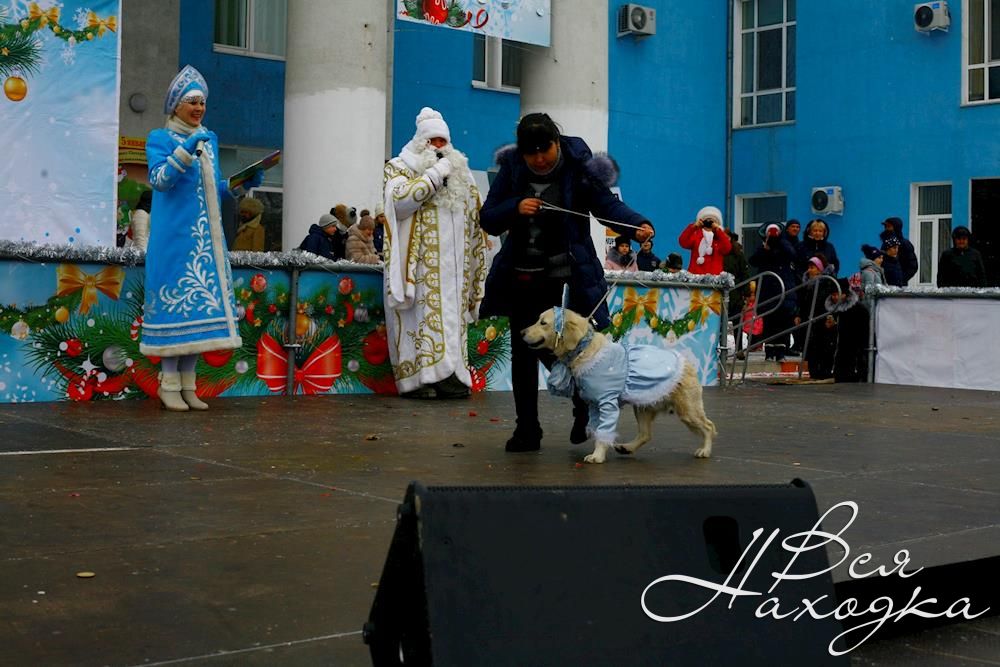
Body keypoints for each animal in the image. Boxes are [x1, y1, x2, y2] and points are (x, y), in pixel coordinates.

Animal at [522, 307, 716, 464]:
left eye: (543, 322)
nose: (521, 332)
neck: (584, 349)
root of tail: (686, 362)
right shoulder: (594, 405)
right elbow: (597, 429)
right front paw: (599, 451)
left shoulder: (608, 403)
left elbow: (603, 431)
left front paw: (597, 456)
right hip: (643, 407)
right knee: (646, 434)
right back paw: (627, 447)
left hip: (688, 410)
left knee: (709, 427)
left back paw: (705, 451)